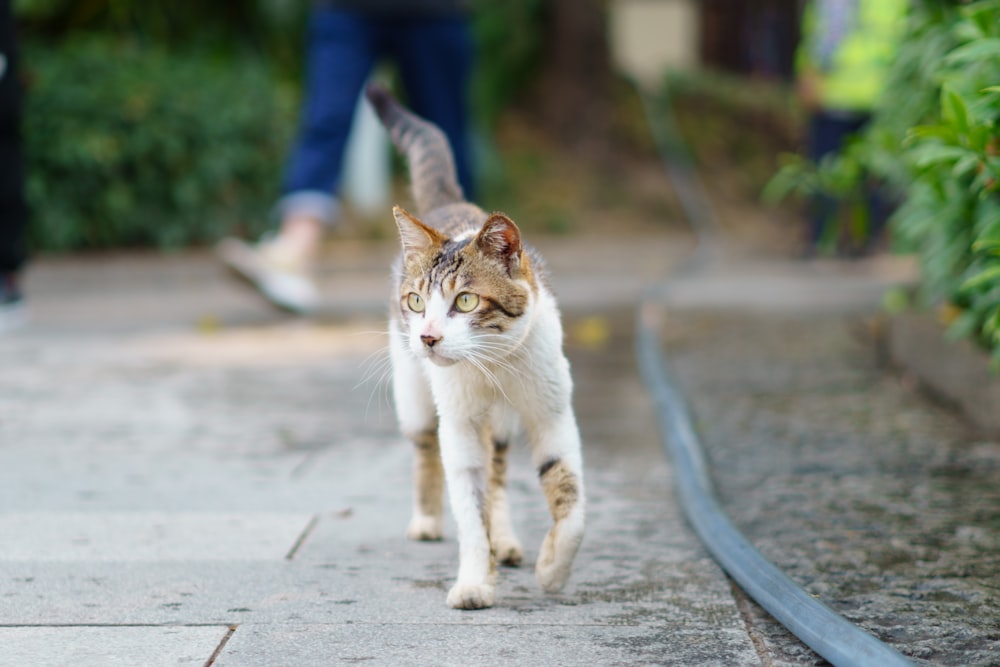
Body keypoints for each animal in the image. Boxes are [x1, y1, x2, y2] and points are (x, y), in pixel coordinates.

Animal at [368, 85, 584, 612]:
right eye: (417, 301)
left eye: (465, 301)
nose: (428, 336)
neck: (493, 367)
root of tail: (452, 204)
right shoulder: (459, 425)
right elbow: (468, 502)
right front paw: (473, 581)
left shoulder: (553, 413)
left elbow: (569, 497)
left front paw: (552, 569)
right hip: (413, 392)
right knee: (426, 448)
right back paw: (427, 520)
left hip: (504, 424)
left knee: (501, 471)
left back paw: (505, 539)